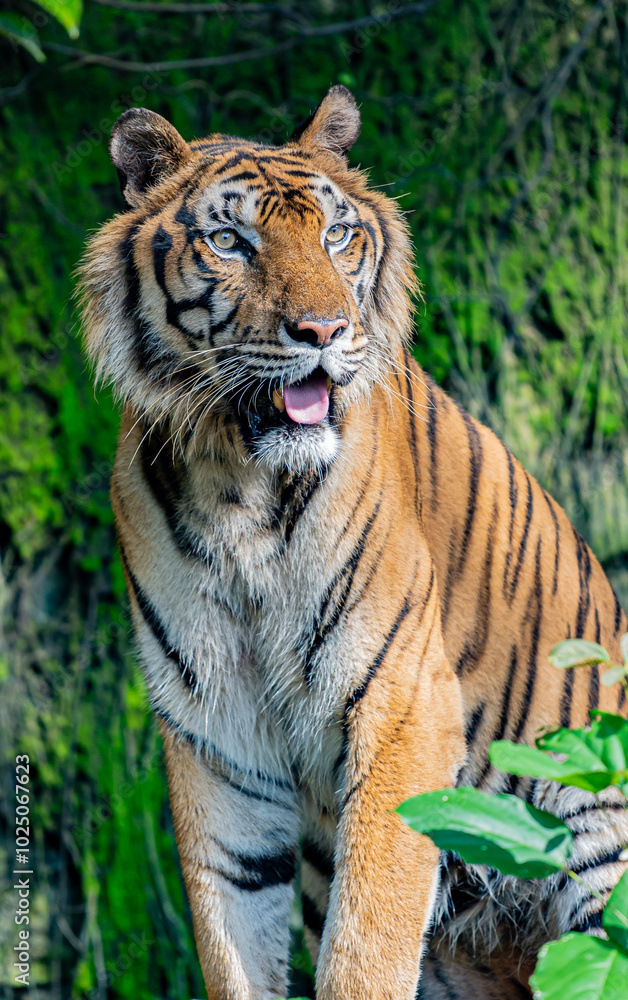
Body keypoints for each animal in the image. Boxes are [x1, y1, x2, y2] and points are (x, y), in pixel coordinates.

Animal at [78, 86, 628, 1000]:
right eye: (231, 241)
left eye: (337, 235)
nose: (325, 330)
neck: (237, 486)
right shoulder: (215, 733)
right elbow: (232, 931)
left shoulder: (404, 703)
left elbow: (367, 940)